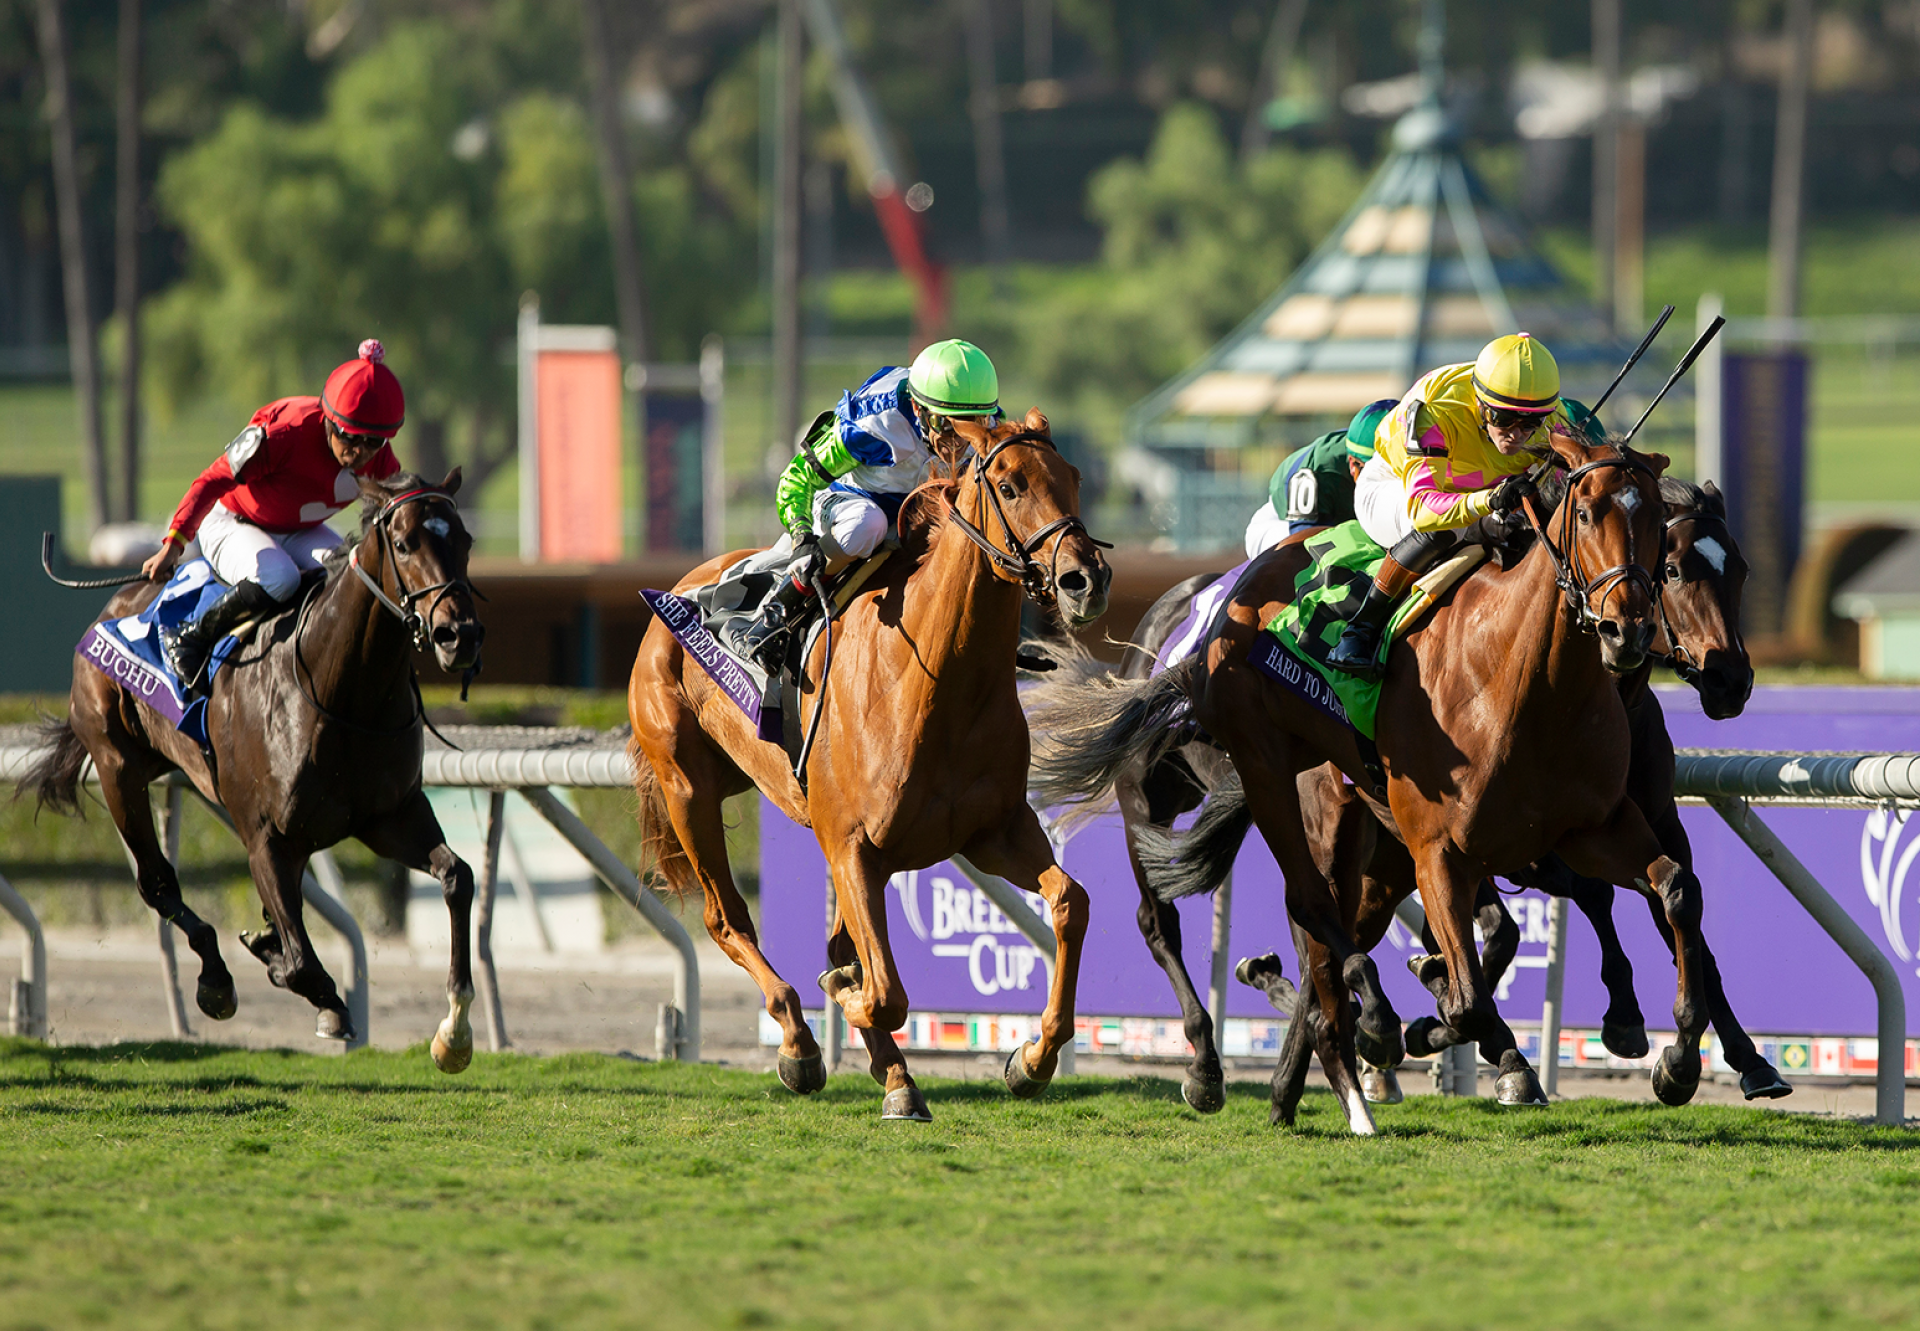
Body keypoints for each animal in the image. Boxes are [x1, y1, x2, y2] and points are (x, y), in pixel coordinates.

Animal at [23, 470, 487, 1067]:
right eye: (405, 543)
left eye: (465, 540)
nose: (461, 636)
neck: (343, 691)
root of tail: (117, 603)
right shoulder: (265, 837)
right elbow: (301, 961)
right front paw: (309, 987)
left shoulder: (390, 816)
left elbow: (458, 877)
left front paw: (454, 1033)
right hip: (116, 764)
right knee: (155, 881)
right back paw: (216, 978)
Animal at [629, 411, 1113, 1113]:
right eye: (1010, 484)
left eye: (1072, 477)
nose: (1086, 580)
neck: (935, 679)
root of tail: (680, 590)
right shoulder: (853, 845)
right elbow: (882, 993)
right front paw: (846, 1005)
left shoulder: (992, 831)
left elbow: (1071, 903)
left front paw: (1032, 1058)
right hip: (686, 788)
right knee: (727, 919)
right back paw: (801, 1045)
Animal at [1029, 428, 1704, 1129]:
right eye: (1585, 513)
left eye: (1658, 526)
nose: (1626, 631)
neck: (1526, 682)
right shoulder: (1440, 849)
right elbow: (1465, 997)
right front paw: (1449, 1026)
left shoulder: (1590, 825)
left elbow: (1674, 890)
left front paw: (1676, 1059)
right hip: (1237, 777)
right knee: (1260, 911)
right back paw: (1247, 1060)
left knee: (1331, 934)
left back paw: (1305, 1078)